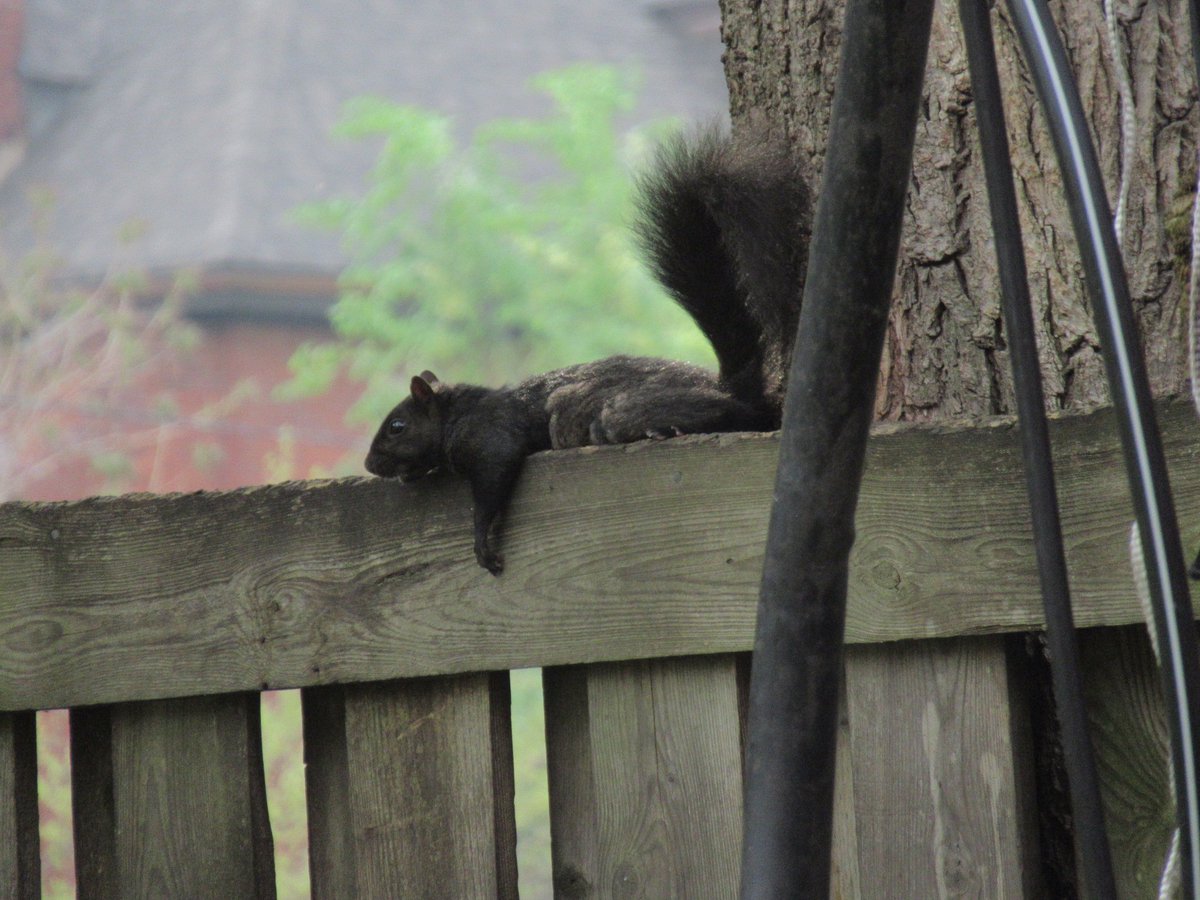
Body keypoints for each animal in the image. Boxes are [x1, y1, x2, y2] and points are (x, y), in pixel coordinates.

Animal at [364, 127, 811, 574]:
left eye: (397, 426)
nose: (369, 464)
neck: (457, 413)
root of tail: (731, 386)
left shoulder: (490, 434)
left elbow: (495, 473)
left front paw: (481, 543)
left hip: (622, 411)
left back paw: (668, 429)